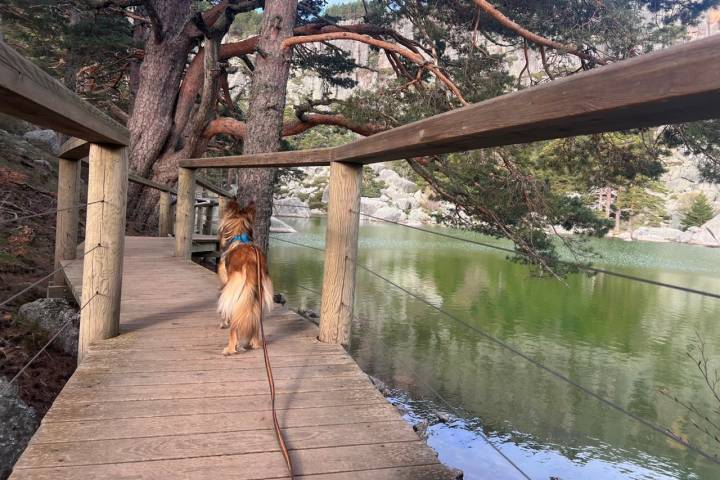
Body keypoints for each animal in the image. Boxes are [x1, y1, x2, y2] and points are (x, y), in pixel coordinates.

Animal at [217, 201, 272, 354]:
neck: (240, 237)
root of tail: (250, 261)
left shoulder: (226, 286)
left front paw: (223, 323)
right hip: (256, 295)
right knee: (255, 321)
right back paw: (254, 343)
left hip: (235, 292)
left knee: (235, 324)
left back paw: (230, 348)